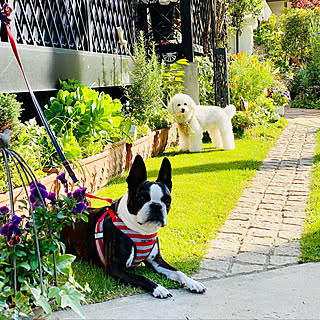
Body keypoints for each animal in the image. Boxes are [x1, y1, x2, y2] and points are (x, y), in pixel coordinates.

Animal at [63, 155, 206, 298]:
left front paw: (193, 282)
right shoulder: (114, 268)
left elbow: (178, 272)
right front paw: (159, 288)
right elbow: (140, 277)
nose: (156, 205)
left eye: (167, 200)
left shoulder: (156, 261)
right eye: (141, 198)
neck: (142, 230)